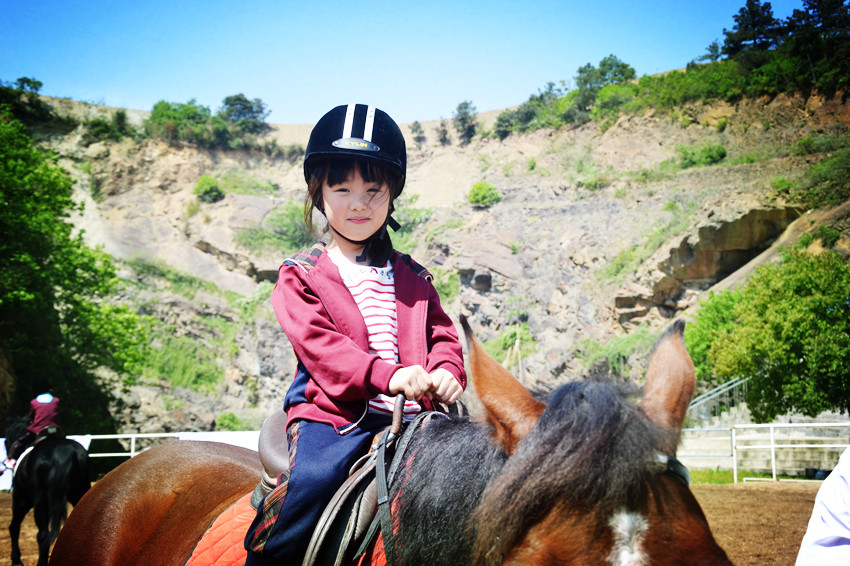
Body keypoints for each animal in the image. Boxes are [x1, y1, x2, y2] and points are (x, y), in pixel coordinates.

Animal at [3, 420, 89, 566]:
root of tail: (63, 451)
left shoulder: (21, 500)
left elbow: (14, 527)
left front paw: (16, 558)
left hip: (39, 503)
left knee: (42, 535)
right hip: (81, 495)